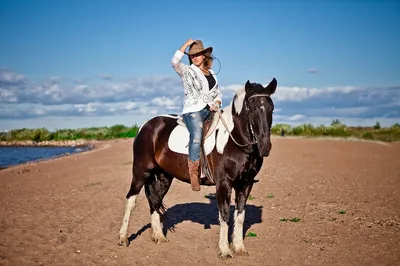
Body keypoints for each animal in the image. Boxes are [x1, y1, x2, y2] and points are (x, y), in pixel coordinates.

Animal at [117, 77, 276, 258]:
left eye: (272, 108)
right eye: (251, 109)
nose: (265, 147)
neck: (233, 141)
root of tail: (145, 126)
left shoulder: (245, 184)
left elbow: (240, 216)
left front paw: (239, 247)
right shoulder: (224, 184)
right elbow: (225, 215)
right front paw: (225, 250)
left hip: (164, 177)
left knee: (155, 201)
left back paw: (158, 236)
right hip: (141, 171)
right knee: (131, 199)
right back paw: (123, 238)